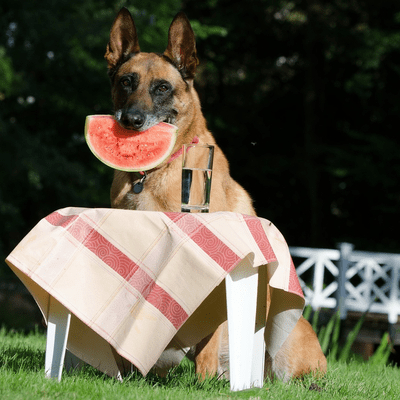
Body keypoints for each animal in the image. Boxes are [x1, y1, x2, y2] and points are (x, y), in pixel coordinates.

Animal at [104, 6, 324, 382]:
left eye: (162, 87)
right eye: (125, 82)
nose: (132, 119)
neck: (156, 172)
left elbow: (207, 342)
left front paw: (202, 382)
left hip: (286, 341)